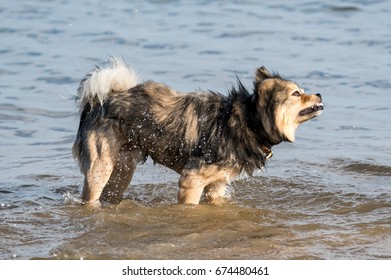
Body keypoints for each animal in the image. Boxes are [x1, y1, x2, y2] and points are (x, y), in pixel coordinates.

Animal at [73, 58, 324, 206]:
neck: (247, 122)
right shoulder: (191, 179)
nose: (319, 94)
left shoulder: (216, 184)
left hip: (124, 167)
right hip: (101, 166)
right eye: (296, 94)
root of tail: (100, 100)